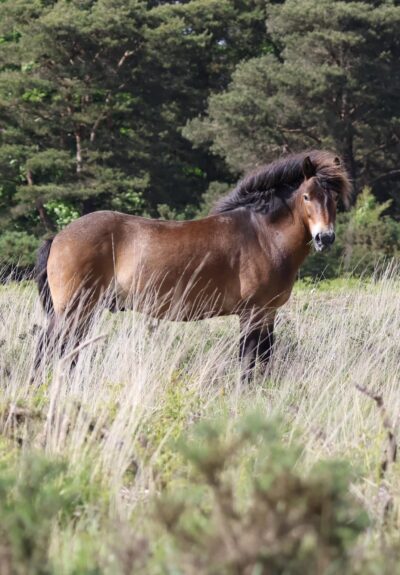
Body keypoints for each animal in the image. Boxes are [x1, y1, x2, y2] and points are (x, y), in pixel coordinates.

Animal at [33, 150, 351, 380]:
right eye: (307, 196)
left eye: (334, 198)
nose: (325, 238)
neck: (262, 234)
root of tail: (59, 236)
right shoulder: (252, 313)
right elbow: (248, 361)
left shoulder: (267, 313)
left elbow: (265, 357)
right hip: (74, 311)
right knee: (48, 349)